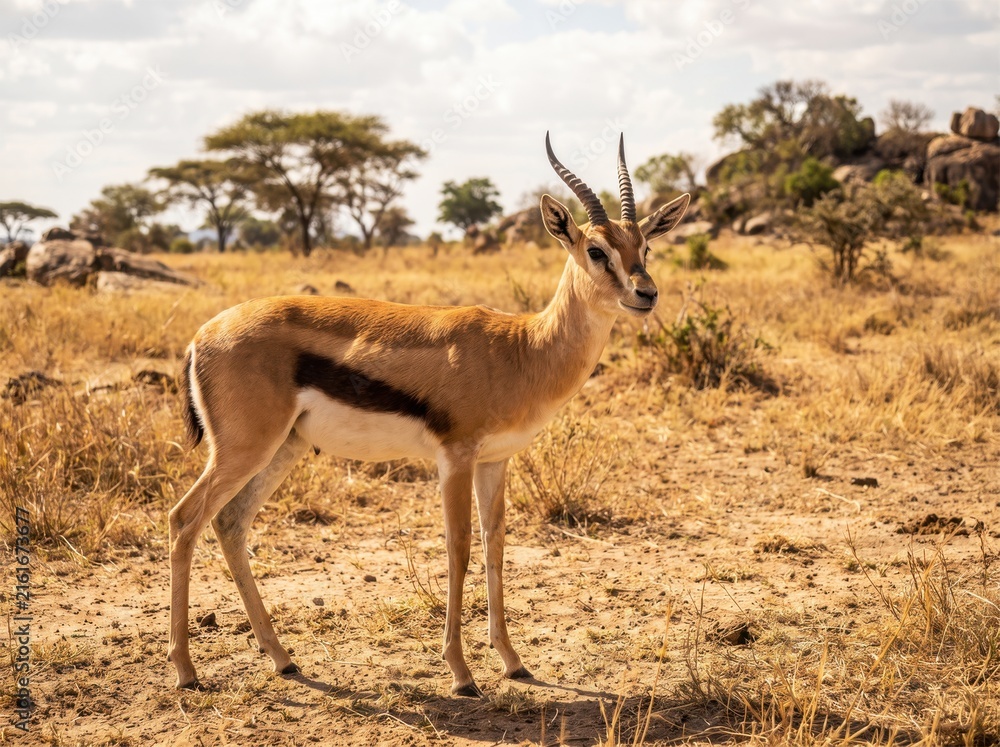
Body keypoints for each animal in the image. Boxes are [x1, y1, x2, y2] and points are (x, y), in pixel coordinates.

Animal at [168, 132, 690, 696]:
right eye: (596, 250)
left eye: (645, 247)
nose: (646, 293)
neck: (521, 349)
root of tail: (201, 336)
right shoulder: (455, 457)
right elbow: (458, 548)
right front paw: (461, 673)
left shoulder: (494, 461)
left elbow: (494, 544)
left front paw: (513, 661)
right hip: (243, 449)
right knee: (184, 520)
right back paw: (185, 670)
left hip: (284, 447)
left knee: (230, 523)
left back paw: (282, 659)